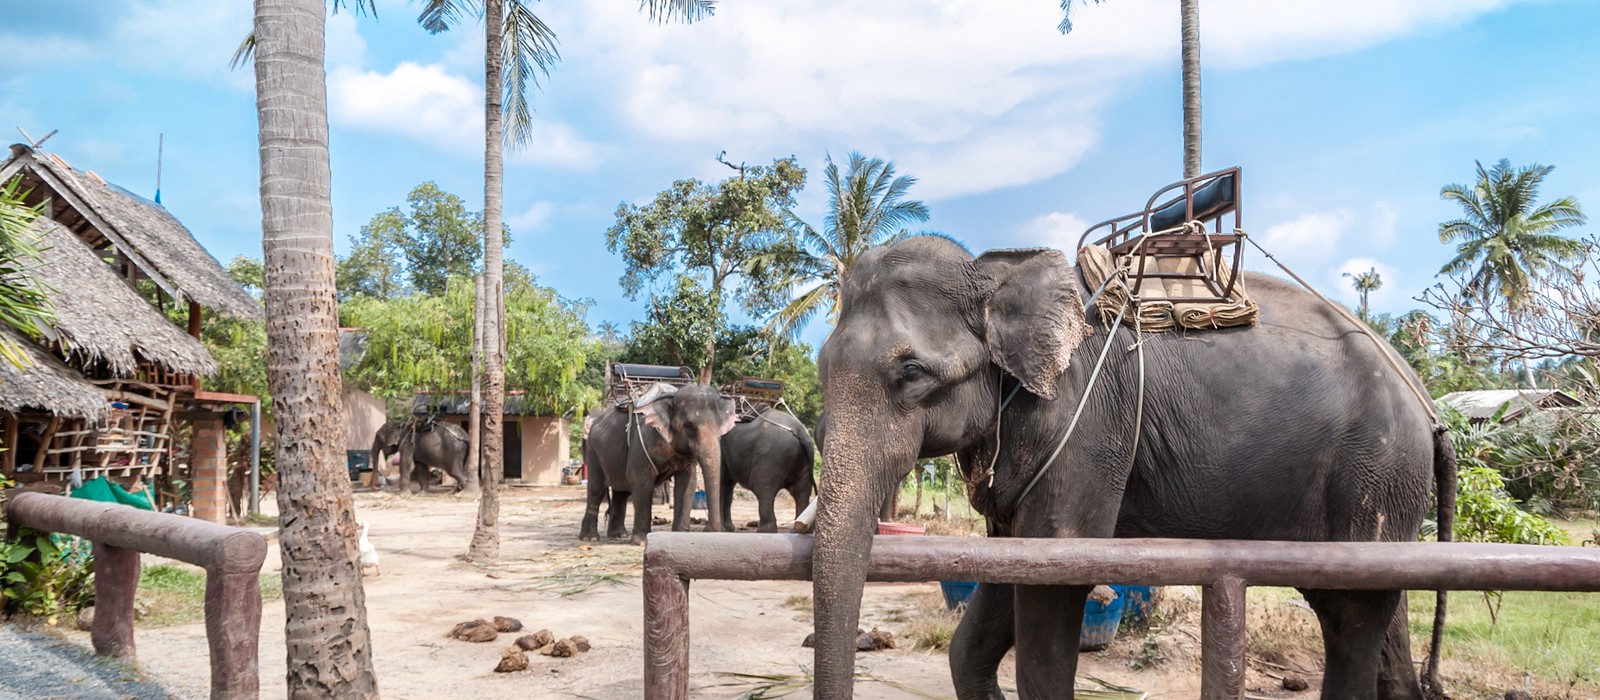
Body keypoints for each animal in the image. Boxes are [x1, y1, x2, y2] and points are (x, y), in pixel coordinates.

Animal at [582, 385, 736, 543]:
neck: (672, 396)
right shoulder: (641, 443)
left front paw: (679, 535)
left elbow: (687, 484)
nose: (708, 530)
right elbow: (641, 482)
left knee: (622, 492)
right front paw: (640, 541)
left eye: (720, 427)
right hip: (592, 449)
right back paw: (590, 538)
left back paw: (618, 535)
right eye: (689, 426)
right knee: (597, 489)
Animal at [806, 234, 1459, 700]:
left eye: (911, 372)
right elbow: (992, 599)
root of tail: (1429, 407)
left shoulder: (1086, 422)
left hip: (1376, 467)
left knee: (1350, 614)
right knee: (1377, 616)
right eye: (821, 366)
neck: (996, 273)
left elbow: (1053, 574)